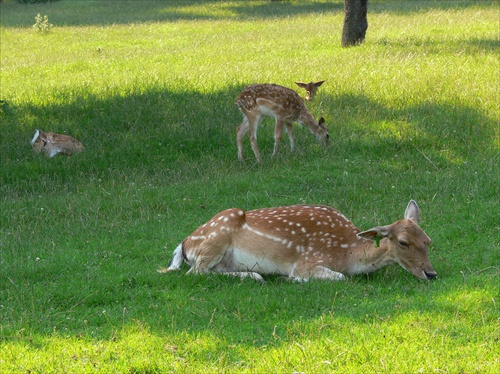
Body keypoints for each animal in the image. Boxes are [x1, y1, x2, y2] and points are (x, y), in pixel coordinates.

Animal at [161, 200, 438, 282]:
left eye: (428, 240)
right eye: (403, 242)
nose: (431, 273)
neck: (348, 253)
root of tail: (185, 244)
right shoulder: (307, 261)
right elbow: (340, 277)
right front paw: (291, 279)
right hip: (215, 239)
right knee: (196, 272)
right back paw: (258, 276)